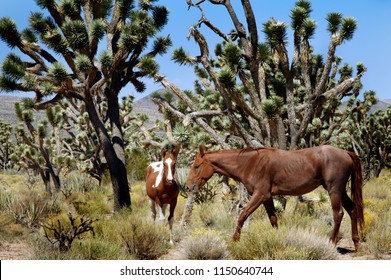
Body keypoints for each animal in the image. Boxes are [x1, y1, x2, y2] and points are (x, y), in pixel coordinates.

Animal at [185, 144, 366, 249]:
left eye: (196, 166)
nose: (187, 187)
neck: (251, 163)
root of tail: (346, 152)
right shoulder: (267, 198)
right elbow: (273, 219)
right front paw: (278, 239)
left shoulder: (260, 195)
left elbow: (242, 216)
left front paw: (234, 241)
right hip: (340, 191)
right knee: (353, 210)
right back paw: (357, 243)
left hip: (334, 190)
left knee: (338, 214)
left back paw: (332, 243)